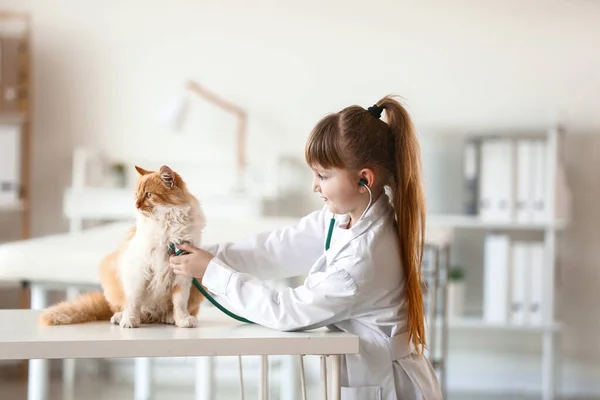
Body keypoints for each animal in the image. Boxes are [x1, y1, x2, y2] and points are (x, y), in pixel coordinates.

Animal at [38, 165, 206, 328]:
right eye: (137, 195)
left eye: (148, 195)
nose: (136, 205)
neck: (167, 232)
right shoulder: (137, 273)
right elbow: (133, 302)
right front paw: (129, 321)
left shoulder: (182, 275)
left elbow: (180, 303)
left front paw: (182, 320)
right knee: (123, 309)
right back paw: (122, 317)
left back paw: (169, 318)